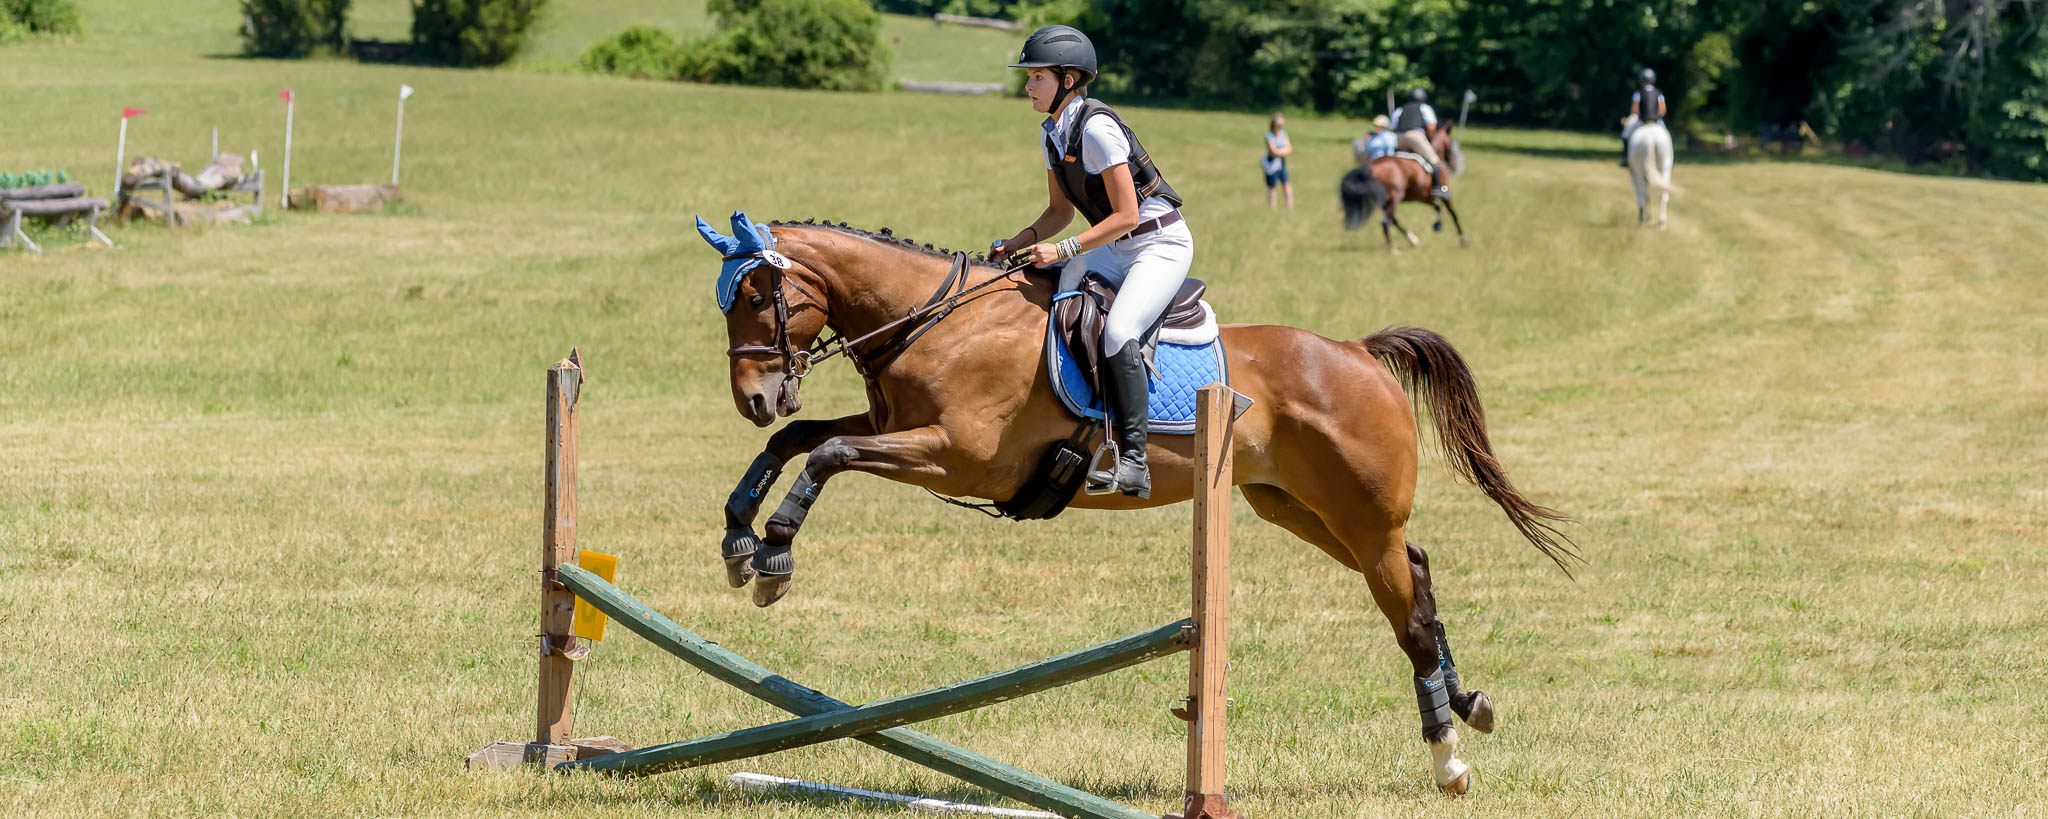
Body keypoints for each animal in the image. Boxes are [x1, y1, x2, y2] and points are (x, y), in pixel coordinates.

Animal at [695, 213, 1577, 795]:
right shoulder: (896, 429)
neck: (938, 323)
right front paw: (739, 535)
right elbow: (802, 439)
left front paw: (774, 552)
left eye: (759, 297)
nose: (752, 397)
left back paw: (1449, 756)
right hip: (1298, 508)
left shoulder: (957, 455)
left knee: (1410, 616)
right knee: (1418, 575)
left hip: (1359, 516)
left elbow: (827, 454)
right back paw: (1467, 702)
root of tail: (1358, 354)